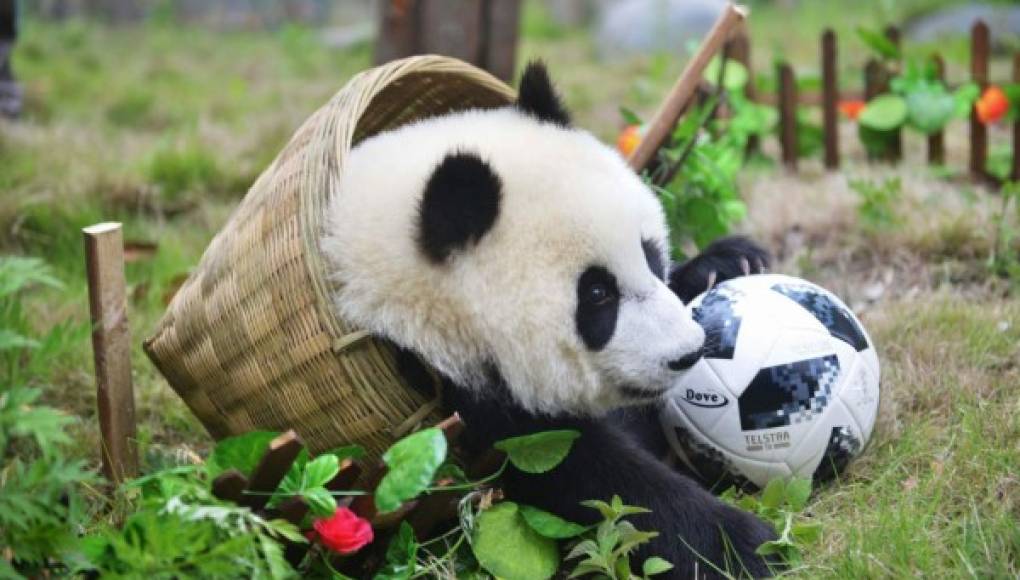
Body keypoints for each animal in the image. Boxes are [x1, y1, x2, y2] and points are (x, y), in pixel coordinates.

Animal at [322, 62, 776, 578]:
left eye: (651, 254)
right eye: (597, 294)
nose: (688, 354)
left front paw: (731, 261)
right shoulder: (445, 401)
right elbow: (586, 475)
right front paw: (743, 544)